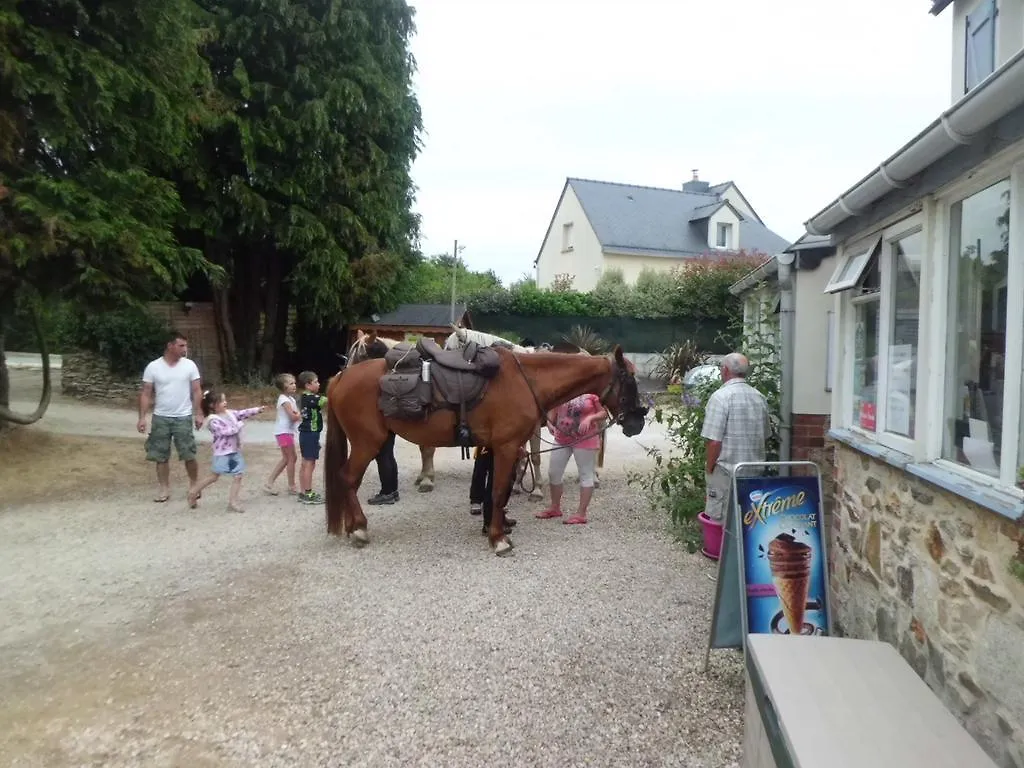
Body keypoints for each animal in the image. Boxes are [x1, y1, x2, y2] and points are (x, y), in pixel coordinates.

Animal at [325, 346, 647, 557]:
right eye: (630, 380)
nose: (638, 422)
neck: (527, 381)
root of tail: (341, 377)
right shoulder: (506, 447)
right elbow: (498, 490)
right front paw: (498, 539)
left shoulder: (502, 449)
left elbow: (499, 491)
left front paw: (499, 526)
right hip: (368, 442)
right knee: (348, 479)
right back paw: (359, 529)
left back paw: (353, 526)